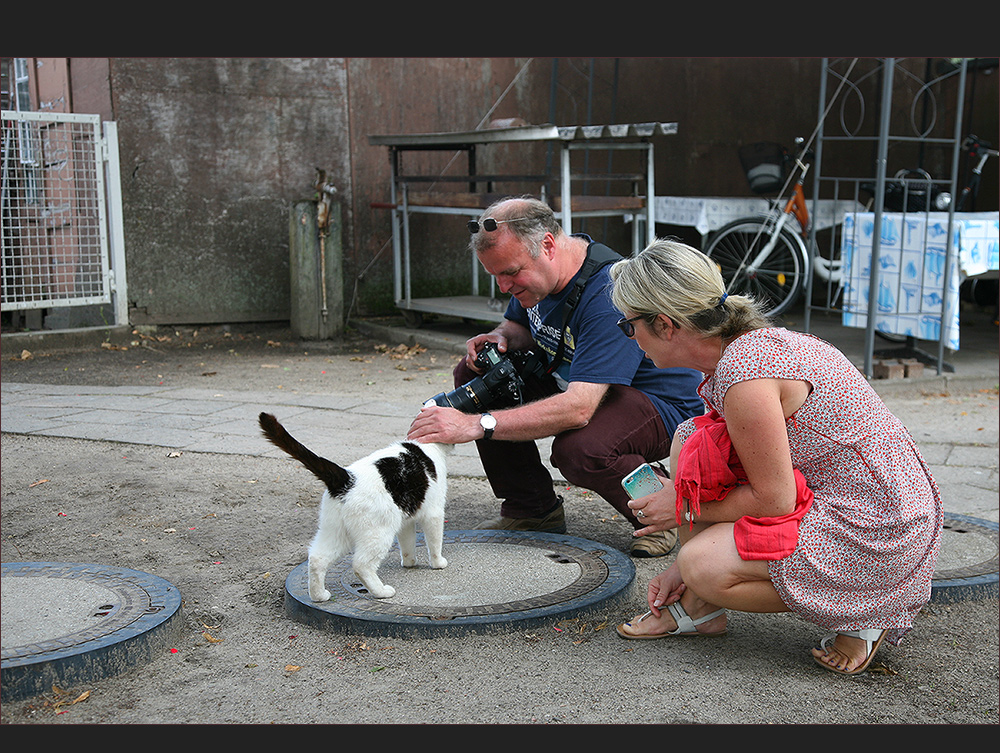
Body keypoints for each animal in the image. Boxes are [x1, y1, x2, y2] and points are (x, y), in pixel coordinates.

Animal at [258, 412, 450, 600]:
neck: (427, 445)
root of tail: (345, 477)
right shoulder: (434, 513)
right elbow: (434, 542)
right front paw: (438, 563)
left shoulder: (406, 520)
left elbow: (407, 544)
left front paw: (409, 563)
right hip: (378, 533)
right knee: (361, 565)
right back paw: (381, 592)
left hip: (335, 531)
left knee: (317, 559)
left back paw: (319, 595)